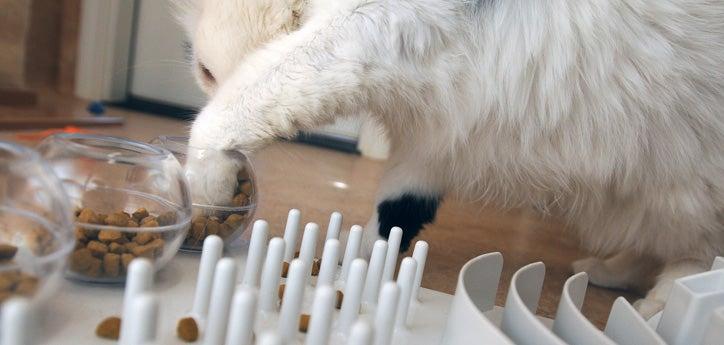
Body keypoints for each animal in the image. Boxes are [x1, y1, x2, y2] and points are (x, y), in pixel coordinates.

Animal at [175, 0, 724, 318]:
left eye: (206, 72)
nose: (204, 80)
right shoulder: (430, 136)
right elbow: (397, 211)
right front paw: (359, 258)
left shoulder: (363, 30)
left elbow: (228, 114)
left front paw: (206, 183)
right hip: (643, 191)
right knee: (652, 247)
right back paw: (608, 271)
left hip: (684, 186)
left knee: (696, 259)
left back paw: (662, 304)